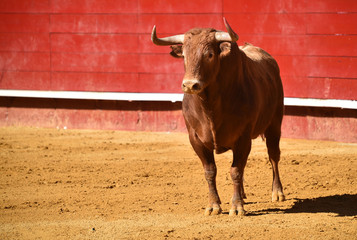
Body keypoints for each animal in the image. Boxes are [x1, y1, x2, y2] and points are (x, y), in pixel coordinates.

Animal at [152, 16, 286, 216]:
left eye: (209, 54)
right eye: (184, 55)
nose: (190, 85)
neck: (210, 106)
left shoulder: (243, 137)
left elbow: (236, 170)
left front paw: (236, 207)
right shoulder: (196, 139)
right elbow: (210, 171)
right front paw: (213, 205)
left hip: (275, 124)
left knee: (273, 156)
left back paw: (277, 192)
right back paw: (243, 195)